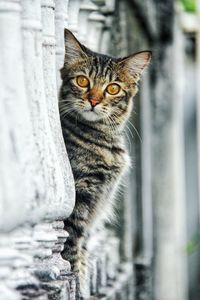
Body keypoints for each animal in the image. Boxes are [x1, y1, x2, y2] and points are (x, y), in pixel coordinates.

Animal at [59, 27, 152, 298]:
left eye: (112, 88)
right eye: (82, 81)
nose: (94, 100)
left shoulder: (92, 208)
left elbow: (83, 251)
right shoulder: (79, 199)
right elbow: (71, 250)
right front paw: (78, 286)